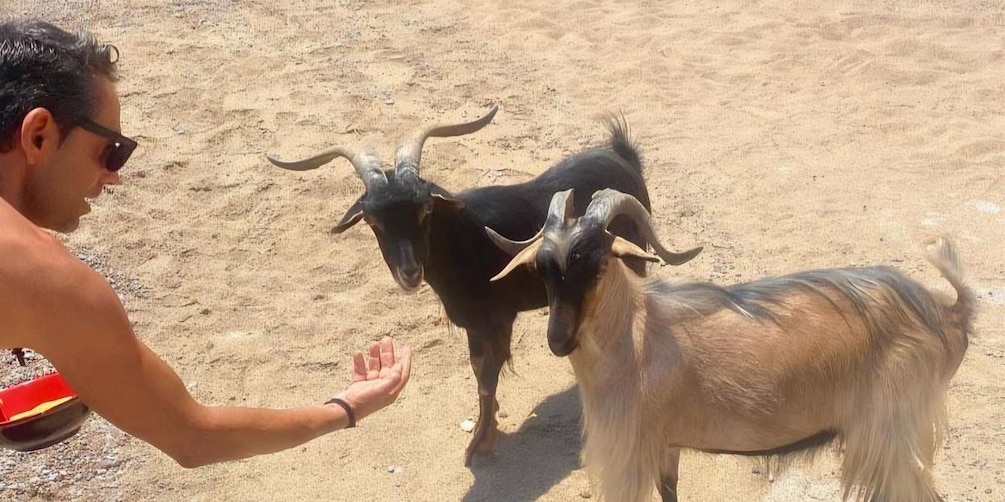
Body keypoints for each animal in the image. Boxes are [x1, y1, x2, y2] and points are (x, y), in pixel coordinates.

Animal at [266, 106, 702, 465]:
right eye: (373, 222)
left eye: (425, 210)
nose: (409, 273)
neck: (466, 239)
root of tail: (621, 155)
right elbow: (482, 375)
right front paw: (484, 432)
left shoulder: (492, 321)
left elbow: (486, 376)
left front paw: (480, 441)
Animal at [487, 188, 974, 502]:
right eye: (543, 268)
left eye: (595, 260)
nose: (558, 339)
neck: (635, 335)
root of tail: (948, 314)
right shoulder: (664, 446)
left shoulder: (626, 455)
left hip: (894, 435)